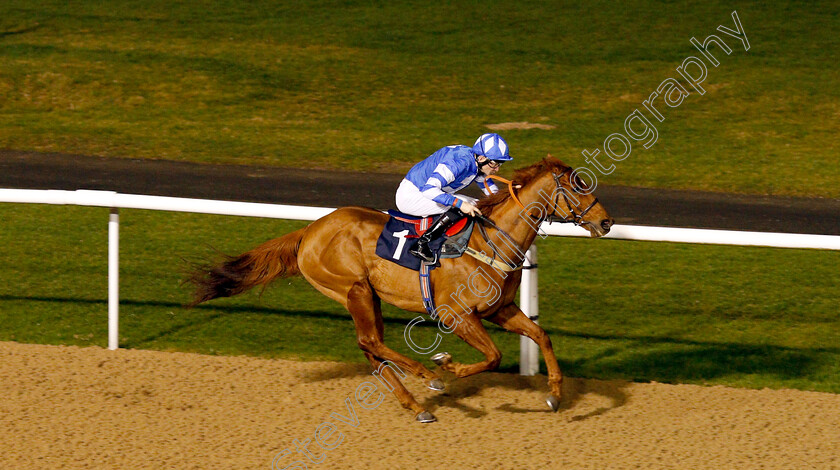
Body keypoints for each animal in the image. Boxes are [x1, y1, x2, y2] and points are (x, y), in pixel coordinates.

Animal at [189, 157, 612, 422]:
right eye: (577, 185)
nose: (607, 222)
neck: (491, 242)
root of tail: (309, 230)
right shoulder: (456, 315)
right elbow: (492, 356)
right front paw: (449, 366)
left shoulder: (501, 310)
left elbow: (541, 335)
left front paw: (555, 393)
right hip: (356, 288)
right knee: (371, 343)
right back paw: (427, 375)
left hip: (366, 296)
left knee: (370, 348)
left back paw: (415, 403)